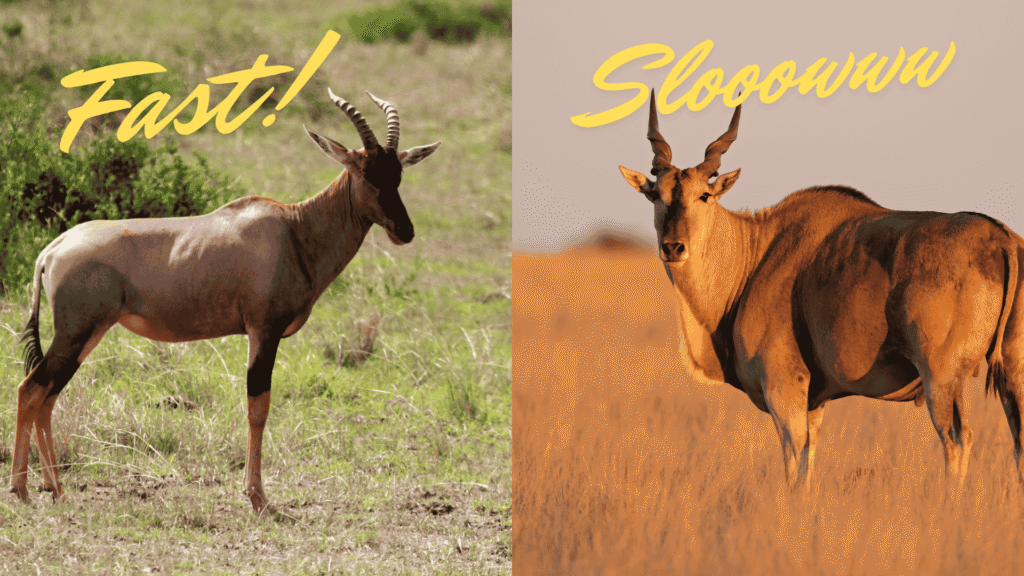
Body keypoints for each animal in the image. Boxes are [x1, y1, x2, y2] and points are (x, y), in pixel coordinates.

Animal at [10, 89, 441, 512]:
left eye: (398, 173)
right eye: (364, 172)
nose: (404, 231)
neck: (293, 229)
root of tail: (52, 250)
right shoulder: (263, 331)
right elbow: (258, 407)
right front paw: (257, 497)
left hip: (86, 335)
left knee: (46, 396)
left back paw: (55, 489)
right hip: (76, 333)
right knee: (31, 390)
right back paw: (23, 490)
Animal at [618, 89, 1024, 496]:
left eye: (704, 195)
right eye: (656, 195)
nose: (673, 247)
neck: (756, 252)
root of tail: (1000, 237)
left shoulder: (784, 388)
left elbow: (794, 461)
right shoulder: (814, 403)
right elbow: (807, 462)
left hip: (940, 378)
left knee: (957, 438)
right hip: (1010, 376)